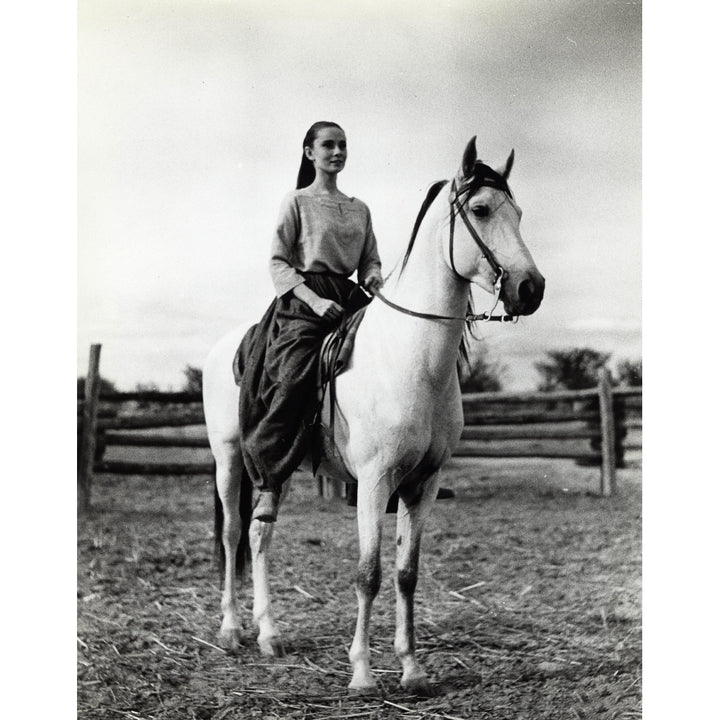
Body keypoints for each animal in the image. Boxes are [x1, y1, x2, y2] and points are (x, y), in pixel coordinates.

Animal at [202, 138, 544, 696]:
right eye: (480, 210)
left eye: (518, 213)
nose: (530, 288)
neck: (412, 359)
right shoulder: (374, 481)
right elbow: (369, 574)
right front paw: (362, 672)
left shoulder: (424, 483)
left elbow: (407, 573)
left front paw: (412, 669)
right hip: (230, 459)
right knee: (233, 534)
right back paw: (232, 630)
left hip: (279, 466)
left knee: (259, 535)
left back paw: (269, 634)